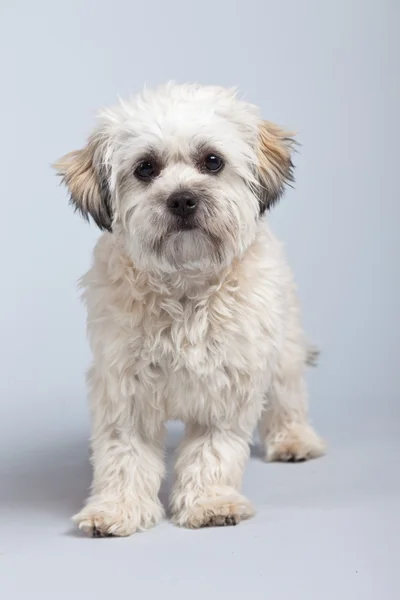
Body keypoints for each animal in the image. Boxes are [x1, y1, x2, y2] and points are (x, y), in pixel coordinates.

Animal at [54, 82, 324, 536]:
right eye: (146, 168)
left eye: (212, 161)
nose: (182, 199)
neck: (184, 286)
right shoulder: (125, 388)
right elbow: (124, 455)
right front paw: (118, 508)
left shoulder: (228, 384)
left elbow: (211, 452)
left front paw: (210, 503)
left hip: (283, 343)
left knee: (288, 393)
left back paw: (294, 440)